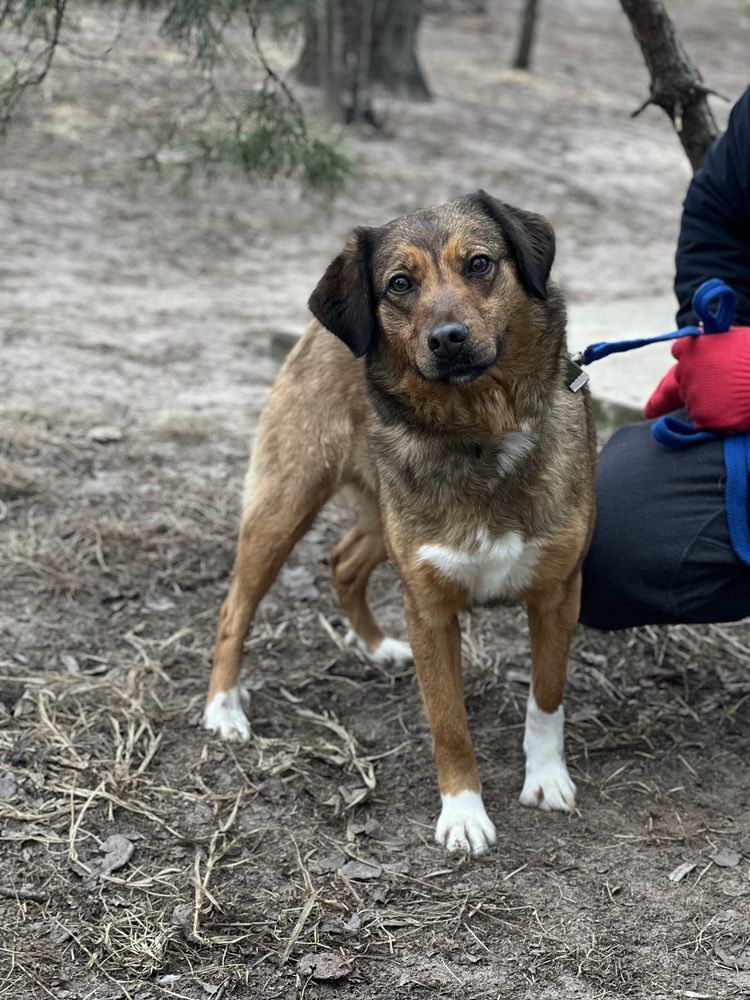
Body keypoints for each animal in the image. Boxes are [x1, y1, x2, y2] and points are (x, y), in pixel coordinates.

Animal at [203, 191, 596, 856]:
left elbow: (547, 695)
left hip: (379, 522)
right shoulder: (429, 610)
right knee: (236, 608)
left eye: (480, 264)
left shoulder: (557, 593)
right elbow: (449, 724)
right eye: (400, 284)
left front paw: (545, 778)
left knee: (343, 561)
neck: (478, 434)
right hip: (284, 505)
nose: (448, 339)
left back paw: (375, 645)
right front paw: (463, 813)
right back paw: (225, 708)